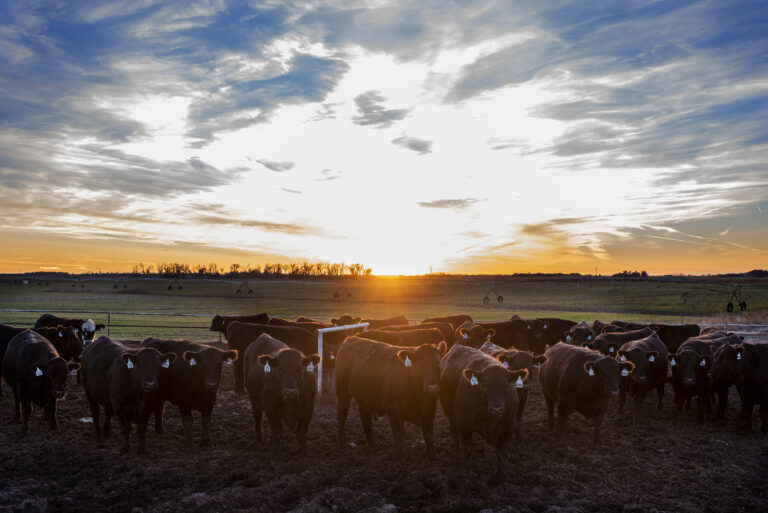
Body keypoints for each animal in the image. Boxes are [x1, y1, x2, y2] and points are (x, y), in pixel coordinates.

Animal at [244, 332, 320, 460]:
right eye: (280, 370)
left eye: (300, 370)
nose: (291, 392)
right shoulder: (270, 408)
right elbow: (277, 431)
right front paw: (275, 456)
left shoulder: (308, 409)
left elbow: (301, 432)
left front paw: (302, 455)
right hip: (253, 400)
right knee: (257, 417)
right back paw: (259, 439)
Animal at [438, 344, 528, 480]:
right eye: (485, 386)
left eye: (506, 387)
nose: (497, 409)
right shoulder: (463, 425)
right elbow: (467, 449)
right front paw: (469, 472)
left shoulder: (508, 427)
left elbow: (501, 452)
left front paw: (501, 475)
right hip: (451, 416)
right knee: (455, 435)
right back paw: (459, 457)